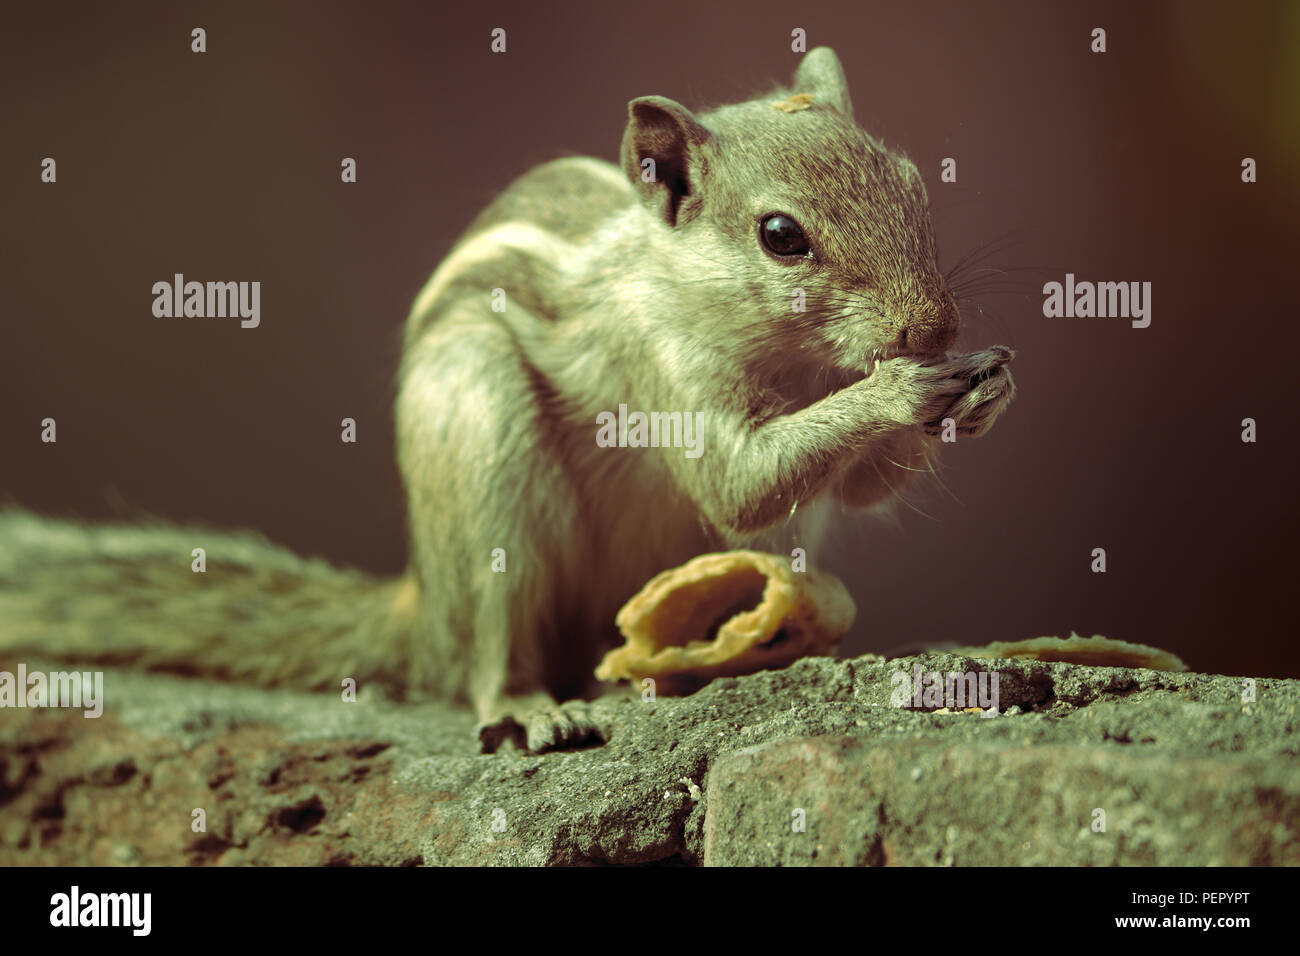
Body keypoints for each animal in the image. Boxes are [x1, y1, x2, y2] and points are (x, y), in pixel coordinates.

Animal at [0, 46, 1013, 754]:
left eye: (912, 183)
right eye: (780, 236)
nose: (931, 327)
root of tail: (424, 609)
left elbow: (858, 491)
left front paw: (983, 387)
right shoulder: (663, 364)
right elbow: (736, 482)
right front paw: (902, 387)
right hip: (481, 443)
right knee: (493, 651)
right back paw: (532, 708)